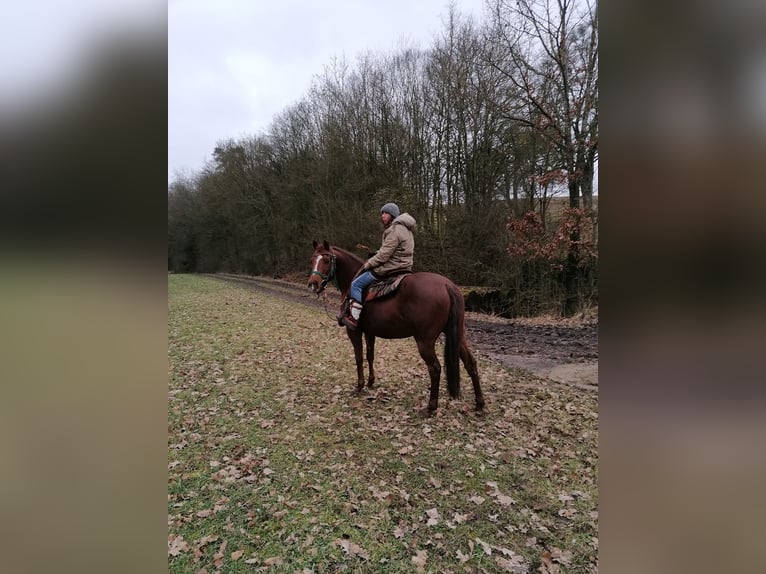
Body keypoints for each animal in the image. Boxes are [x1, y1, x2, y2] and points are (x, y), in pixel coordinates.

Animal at [308, 241, 484, 416]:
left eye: (326, 260)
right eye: (312, 260)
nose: (313, 284)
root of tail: (447, 285)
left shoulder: (353, 331)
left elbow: (358, 357)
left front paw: (359, 386)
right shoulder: (370, 332)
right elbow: (370, 355)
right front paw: (371, 382)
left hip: (424, 341)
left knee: (435, 369)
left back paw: (431, 407)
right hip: (458, 336)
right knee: (471, 364)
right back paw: (479, 405)